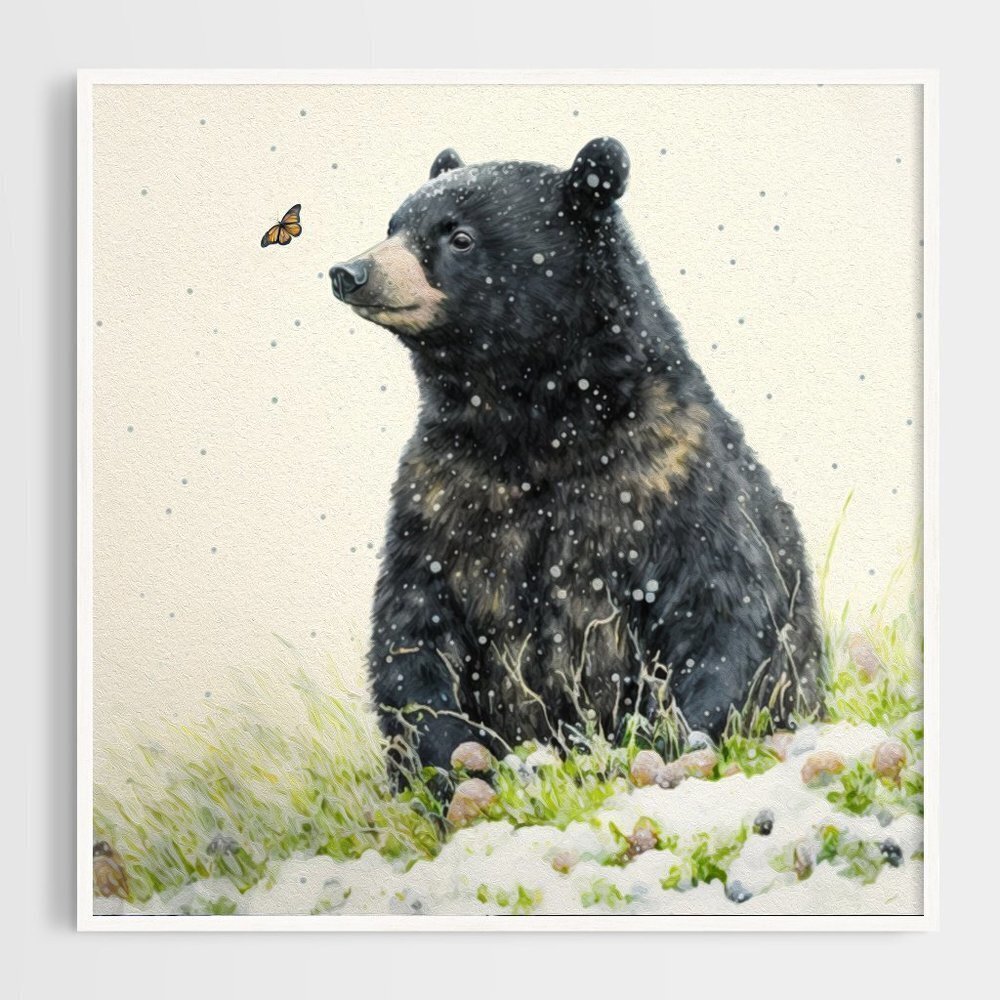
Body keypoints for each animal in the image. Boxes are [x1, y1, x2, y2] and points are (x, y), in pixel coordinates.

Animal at [329, 137, 822, 779]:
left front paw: (676, 738)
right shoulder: (443, 491)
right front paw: (453, 762)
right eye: (394, 224)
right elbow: (413, 624)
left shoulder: (674, 476)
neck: (538, 426)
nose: (350, 272)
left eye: (458, 236)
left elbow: (725, 605)